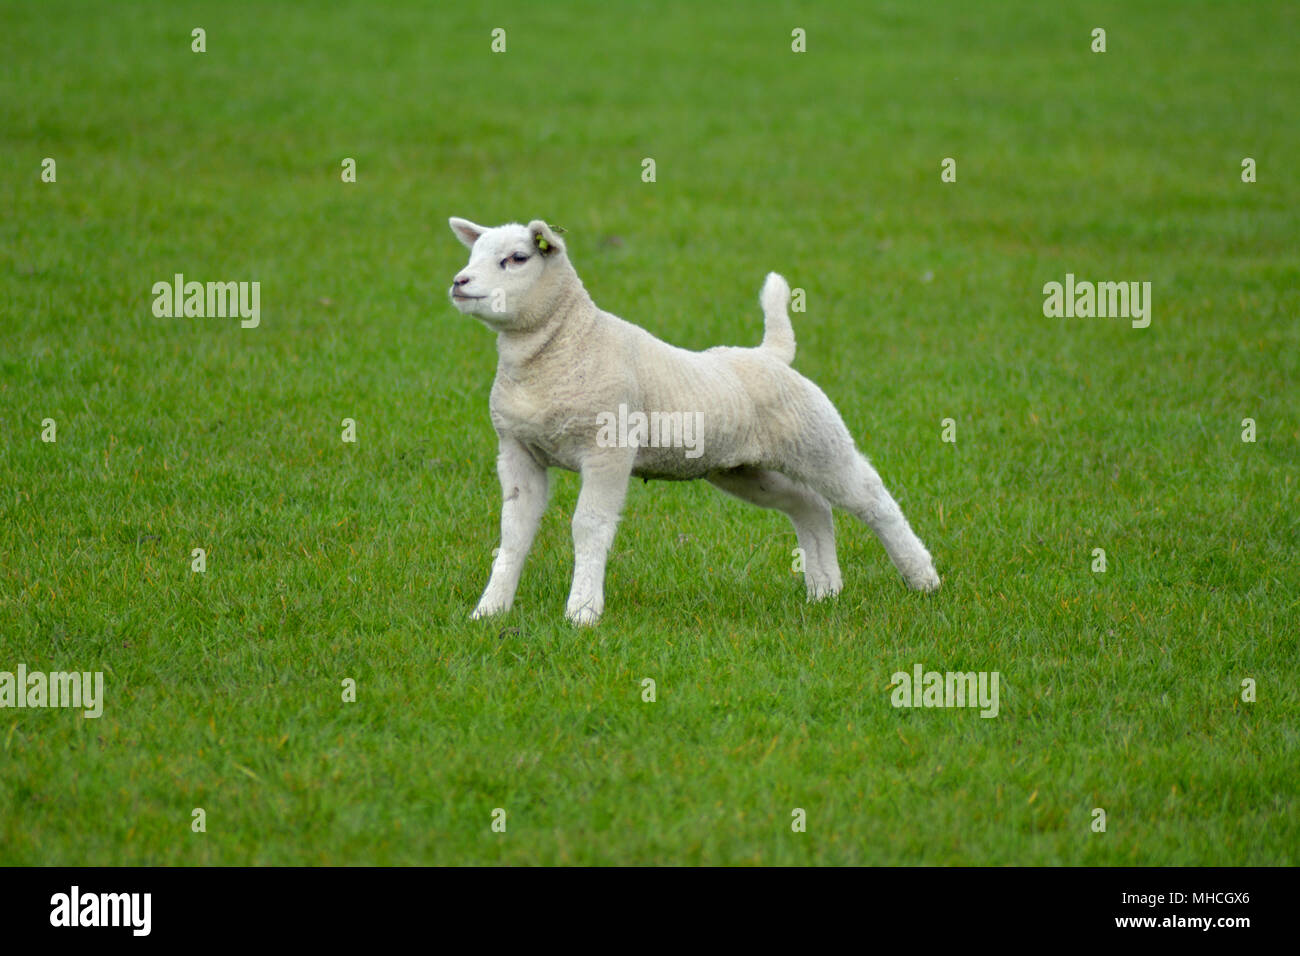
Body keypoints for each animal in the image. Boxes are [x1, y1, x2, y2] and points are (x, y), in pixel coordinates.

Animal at [452, 214, 941, 629]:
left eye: (517, 258)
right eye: (474, 254)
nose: (459, 282)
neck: (559, 345)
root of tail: (771, 355)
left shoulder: (608, 448)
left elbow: (588, 525)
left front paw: (582, 613)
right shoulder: (517, 449)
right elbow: (513, 531)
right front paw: (489, 611)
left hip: (817, 440)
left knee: (872, 498)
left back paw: (923, 578)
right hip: (742, 469)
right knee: (810, 505)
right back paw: (825, 590)